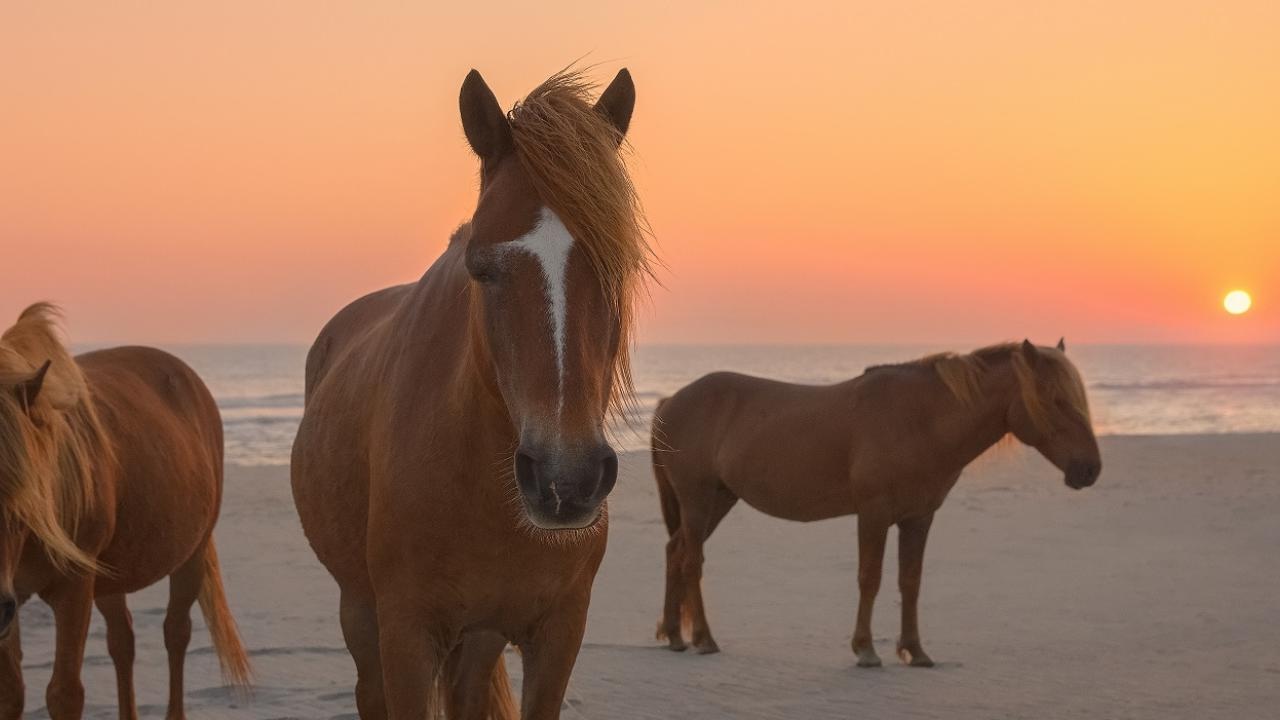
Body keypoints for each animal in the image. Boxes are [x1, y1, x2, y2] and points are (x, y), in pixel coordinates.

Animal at [0, 304, 250, 720]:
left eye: (26, 487)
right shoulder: (11, 601)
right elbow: (11, 693)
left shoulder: (74, 589)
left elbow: (64, 693)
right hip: (110, 577)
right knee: (123, 641)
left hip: (191, 554)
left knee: (175, 631)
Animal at [291, 67, 652, 719]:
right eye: (481, 267)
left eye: (619, 266)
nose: (567, 480)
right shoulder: (406, 636)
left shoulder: (559, 633)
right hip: (360, 613)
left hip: (478, 640)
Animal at [652, 339, 1101, 667]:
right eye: (1056, 400)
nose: (1090, 469)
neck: (920, 419)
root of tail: (671, 401)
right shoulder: (873, 514)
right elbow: (870, 577)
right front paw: (865, 650)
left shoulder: (918, 518)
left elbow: (910, 581)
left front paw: (915, 651)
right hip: (697, 499)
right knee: (692, 561)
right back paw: (704, 639)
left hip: (719, 500)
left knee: (675, 552)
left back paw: (674, 635)